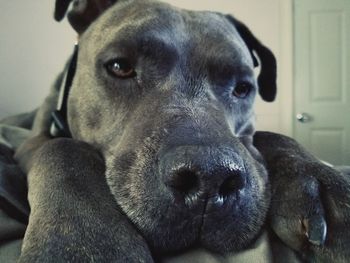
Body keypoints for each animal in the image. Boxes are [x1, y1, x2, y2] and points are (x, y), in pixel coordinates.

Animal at [12, 0, 348, 263]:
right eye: (120, 66)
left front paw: (318, 178)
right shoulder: (30, 142)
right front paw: (87, 241)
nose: (210, 176)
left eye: (243, 88)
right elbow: (62, 149)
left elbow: (268, 137)